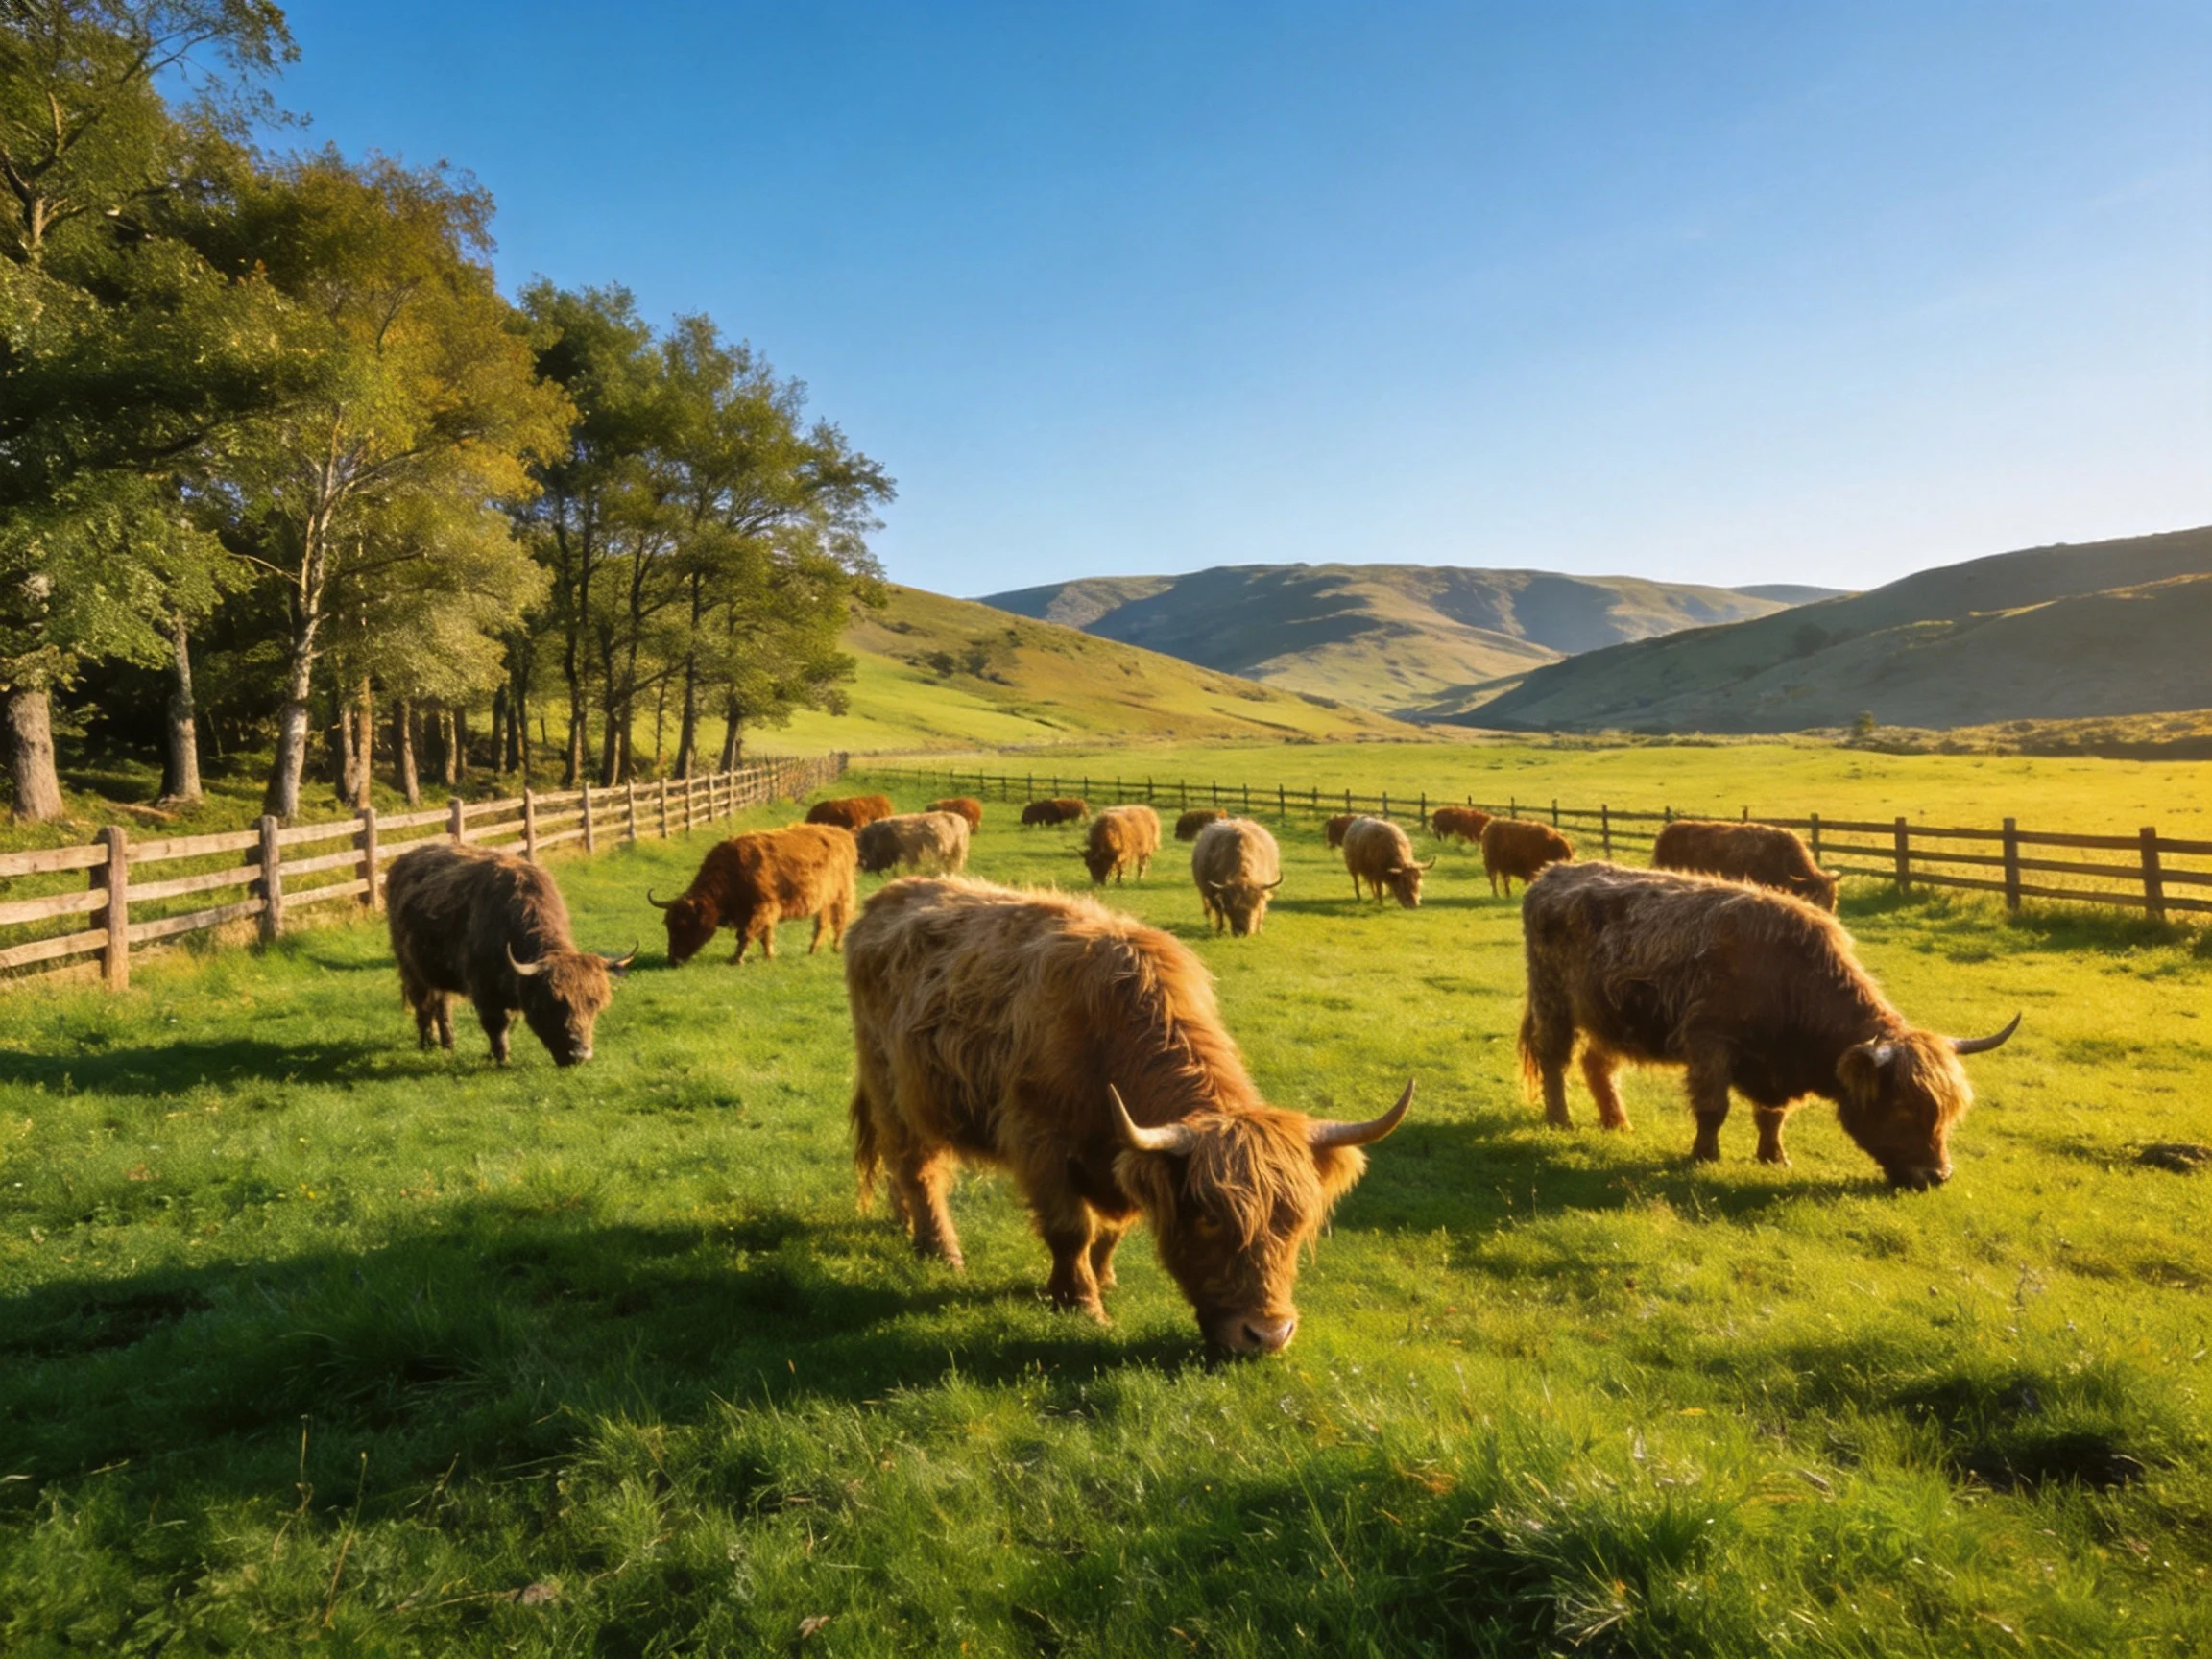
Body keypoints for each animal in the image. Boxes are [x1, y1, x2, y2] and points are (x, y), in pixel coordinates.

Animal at [386, 842, 635, 1066]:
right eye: (551, 1003)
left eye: (594, 1004)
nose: (580, 1055)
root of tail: (403, 860)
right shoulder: (484, 989)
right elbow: (496, 1024)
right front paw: (501, 1057)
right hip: (411, 970)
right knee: (423, 1005)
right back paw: (427, 1043)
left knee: (442, 1003)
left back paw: (448, 1043)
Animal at [647, 822, 858, 965]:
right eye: (668, 925)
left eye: (684, 925)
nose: (673, 960)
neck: (733, 872)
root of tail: (841, 833)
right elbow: (765, 934)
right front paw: (769, 955)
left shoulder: (763, 908)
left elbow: (748, 933)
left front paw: (736, 959)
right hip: (824, 900)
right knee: (822, 923)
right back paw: (813, 949)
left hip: (842, 894)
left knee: (841, 919)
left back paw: (836, 947)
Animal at [843, 877, 1413, 1352]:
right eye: (1210, 1217)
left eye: (1296, 1220)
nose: (1267, 1335)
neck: (1108, 1040)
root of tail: (889, 894)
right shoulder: (1040, 1142)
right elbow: (1071, 1229)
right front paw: (1081, 1304)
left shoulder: (1124, 1158)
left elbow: (1110, 1231)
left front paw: (1103, 1280)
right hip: (893, 1085)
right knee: (917, 1167)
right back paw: (939, 1248)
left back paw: (903, 1221)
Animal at [1517, 861, 2019, 1189]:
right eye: (1902, 1108)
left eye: (1946, 1113)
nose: (1937, 1176)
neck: (1788, 979)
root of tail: (1553, 874)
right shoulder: (1709, 1042)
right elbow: (1713, 1107)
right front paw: (1704, 1156)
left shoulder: (1775, 1065)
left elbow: (1773, 1115)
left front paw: (1774, 1157)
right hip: (1553, 1000)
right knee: (1555, 1059)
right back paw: (1560, 1120)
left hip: (1610, 1015)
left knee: (1597, 1063)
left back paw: (1617, 1123)